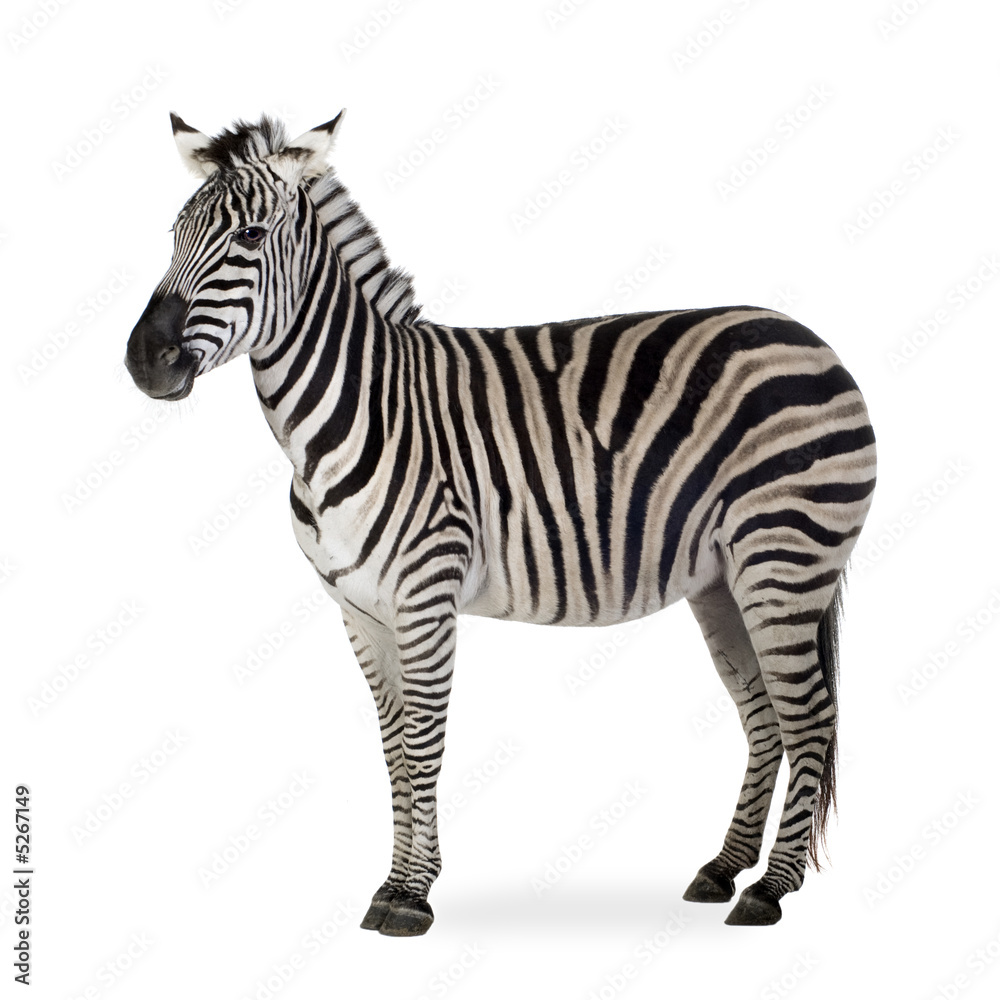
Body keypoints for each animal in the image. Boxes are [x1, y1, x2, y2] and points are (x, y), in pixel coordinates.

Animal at [125, 112, 876, 936]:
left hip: (785, 558)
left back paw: (771, 888)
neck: (353, 410)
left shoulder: (425, 596)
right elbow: (393, 748)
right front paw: (392, 884)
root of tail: (810, 338)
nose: (144, 361)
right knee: (766, 716)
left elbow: (423, 744)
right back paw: (723, 869)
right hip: (725, 578)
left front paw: (413, 896)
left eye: (251, 236)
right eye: (173, 234)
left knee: (812, 716)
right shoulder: (359, 610)